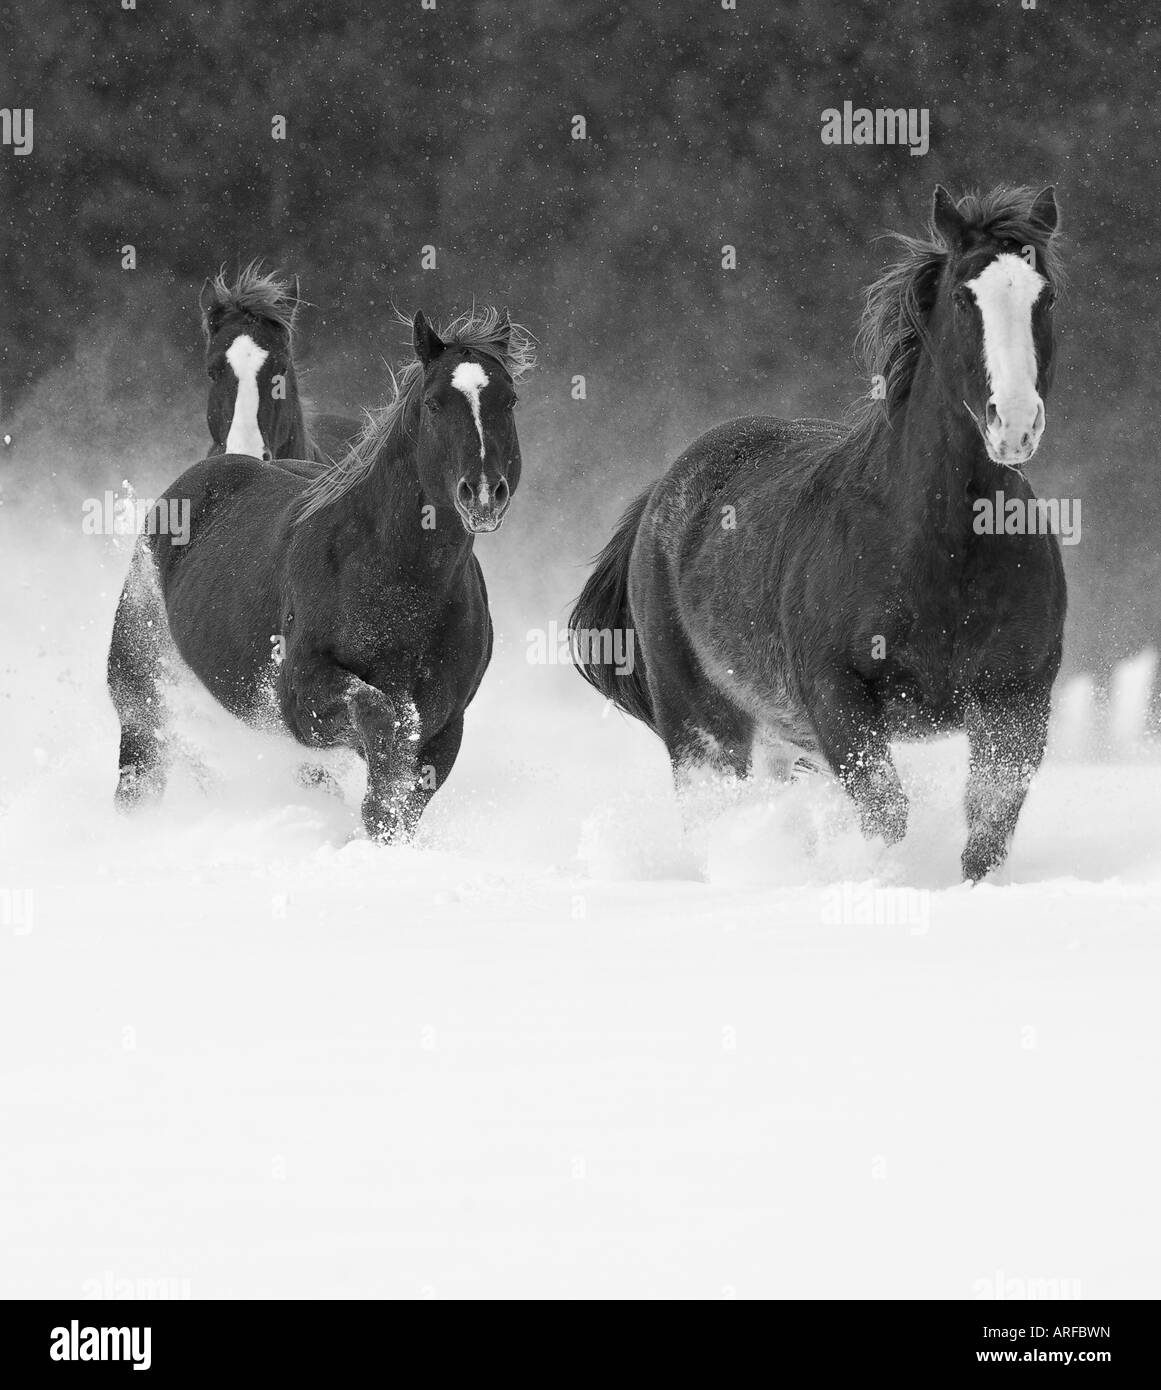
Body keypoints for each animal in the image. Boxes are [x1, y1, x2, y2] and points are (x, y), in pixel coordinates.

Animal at [108, 306, 534, 841]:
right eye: (435, 403)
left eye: (509, 400)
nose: (481, 494)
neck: (399, 583)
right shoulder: (302, 696)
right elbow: (380, 717)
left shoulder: (446, 726)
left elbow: (399, 799)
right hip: (140, 692)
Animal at [570, 185, 1066, 882]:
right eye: (964, 297)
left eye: (1044, 297)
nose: (1015, 423)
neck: (942, 553)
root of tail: (657, 498)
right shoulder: (841, 700)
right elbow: (887, 815)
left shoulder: (1018, 701)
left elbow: (988, 829)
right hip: (701, 727)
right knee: (716, 813)